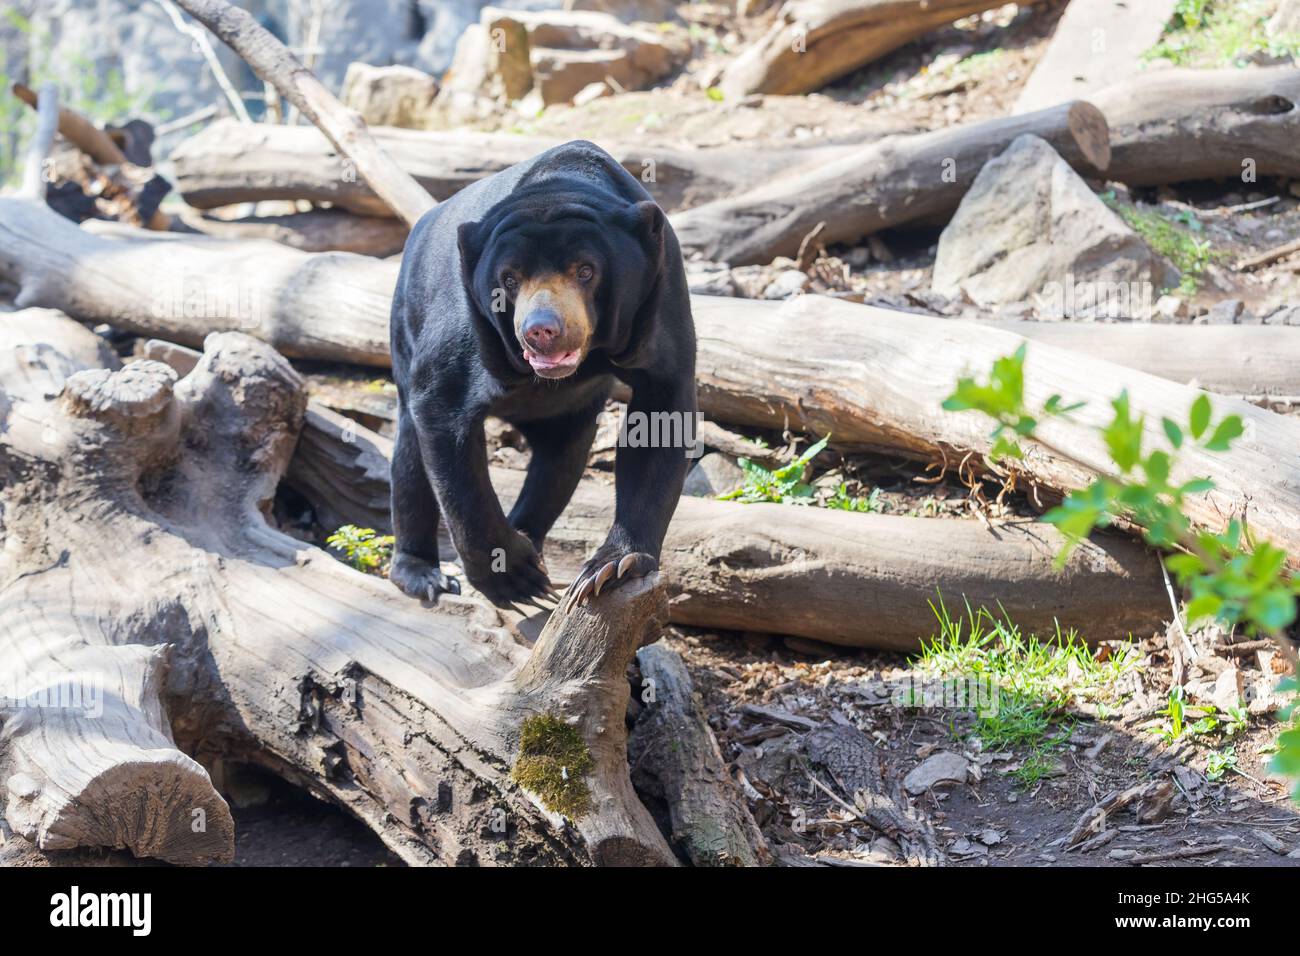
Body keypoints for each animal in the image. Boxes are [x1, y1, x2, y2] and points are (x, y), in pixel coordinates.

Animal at [384, 139, 696, 608]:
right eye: (509, 280)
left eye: (586, 270)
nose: (541, 330)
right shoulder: (465, 323)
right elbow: (444, 410)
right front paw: (512, 577)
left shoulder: (660, 298)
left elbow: (660, 415)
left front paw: (612, 567)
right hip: (405, 322)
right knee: (409, 456)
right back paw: (422, 573)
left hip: (565, 412)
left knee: (560, 459)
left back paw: (530, 535)